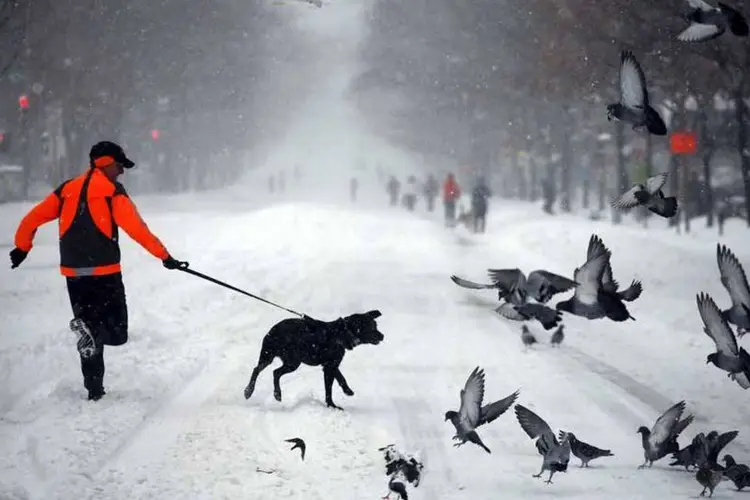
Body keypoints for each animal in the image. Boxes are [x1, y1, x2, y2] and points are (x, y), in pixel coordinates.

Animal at [244, 308, 384, 410]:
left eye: (376, 325)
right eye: (371, 328)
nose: (382, 336)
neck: (341, 334)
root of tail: (273, 330)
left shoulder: (330, 365)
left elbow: (341, 378)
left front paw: (347, 391)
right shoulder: (329, 367)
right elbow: (329, 389)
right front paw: (332, 406)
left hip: (279, 359)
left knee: (266, 371)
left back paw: (267, 393)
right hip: (286, 360)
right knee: (266, 371)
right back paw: (254, 391)